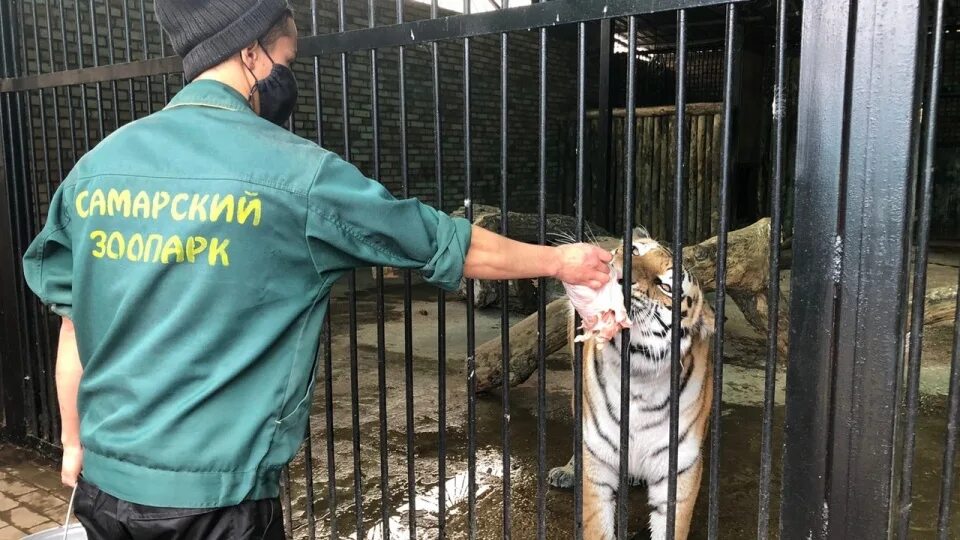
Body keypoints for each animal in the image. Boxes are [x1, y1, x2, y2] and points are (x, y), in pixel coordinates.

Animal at [548, 228, 712, 540]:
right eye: (634, 251)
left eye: (666, 286)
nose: (619, 273)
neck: (639, 381)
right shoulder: (597, 461)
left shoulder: (680, 467)